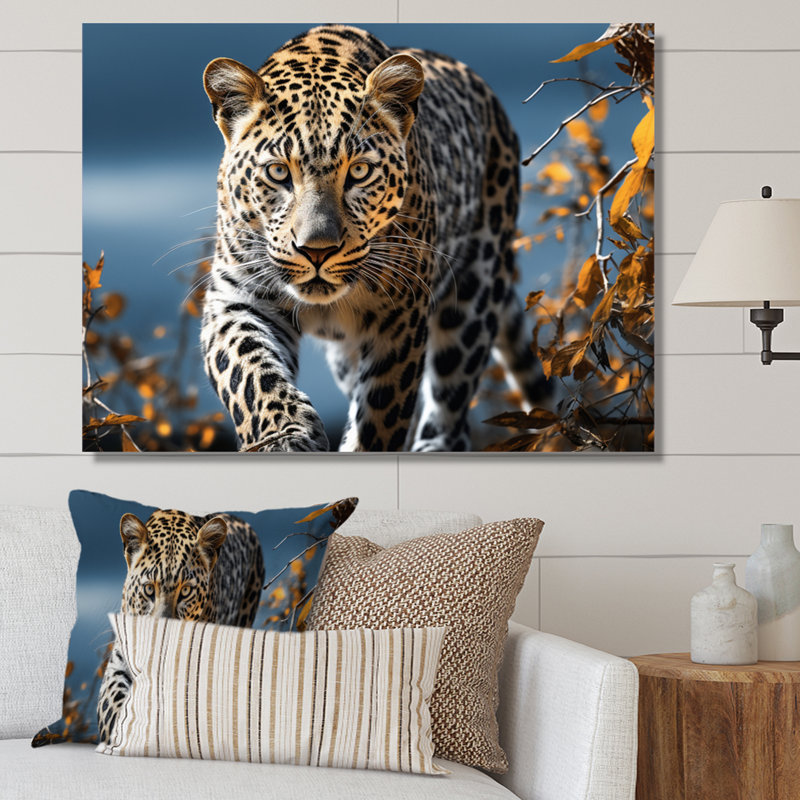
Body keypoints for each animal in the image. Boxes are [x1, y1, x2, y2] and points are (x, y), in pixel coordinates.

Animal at [201, 24, 546, 452]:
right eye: (278, 172)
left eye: (360, 172)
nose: (318, 251)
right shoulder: (238, 295)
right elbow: (247, 371)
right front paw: (283, 436)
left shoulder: (400, 316)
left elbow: (381, 412)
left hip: (472, 293)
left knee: (450, 410)